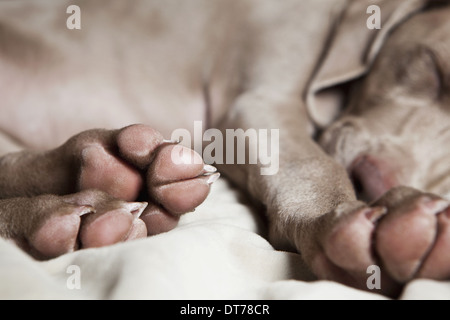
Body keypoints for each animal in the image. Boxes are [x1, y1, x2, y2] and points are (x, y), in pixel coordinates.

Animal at [0, 0, 450, 298]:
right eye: (434, 68)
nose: (370, 180)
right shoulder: (263, 101)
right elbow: (314, 166)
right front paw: (356, 219)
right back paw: (75, 197)